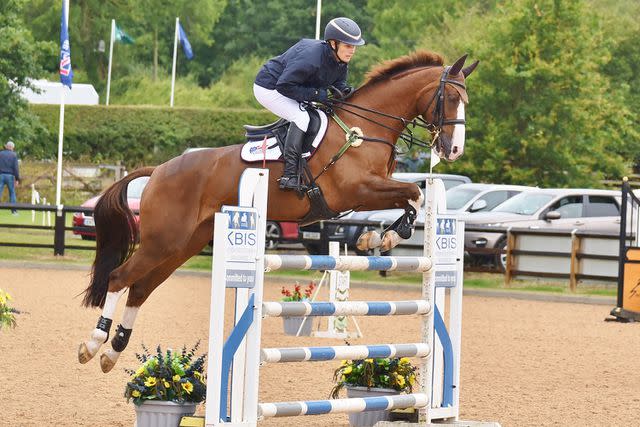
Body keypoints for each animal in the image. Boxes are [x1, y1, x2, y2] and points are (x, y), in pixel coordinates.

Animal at [77, 50, 478, 372]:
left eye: (466, 100)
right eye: (450, 97)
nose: (454, 150)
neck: (364, 129)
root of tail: (159, 169)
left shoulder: (368, 193)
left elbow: (413, 197)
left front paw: (379, 237)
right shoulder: (357, 190)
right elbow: (414, 192)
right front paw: (384, 236)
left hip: (182, 245)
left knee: (140, 287)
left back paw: (113, 352)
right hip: (163, 240)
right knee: (119, 278)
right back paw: (94, 344)